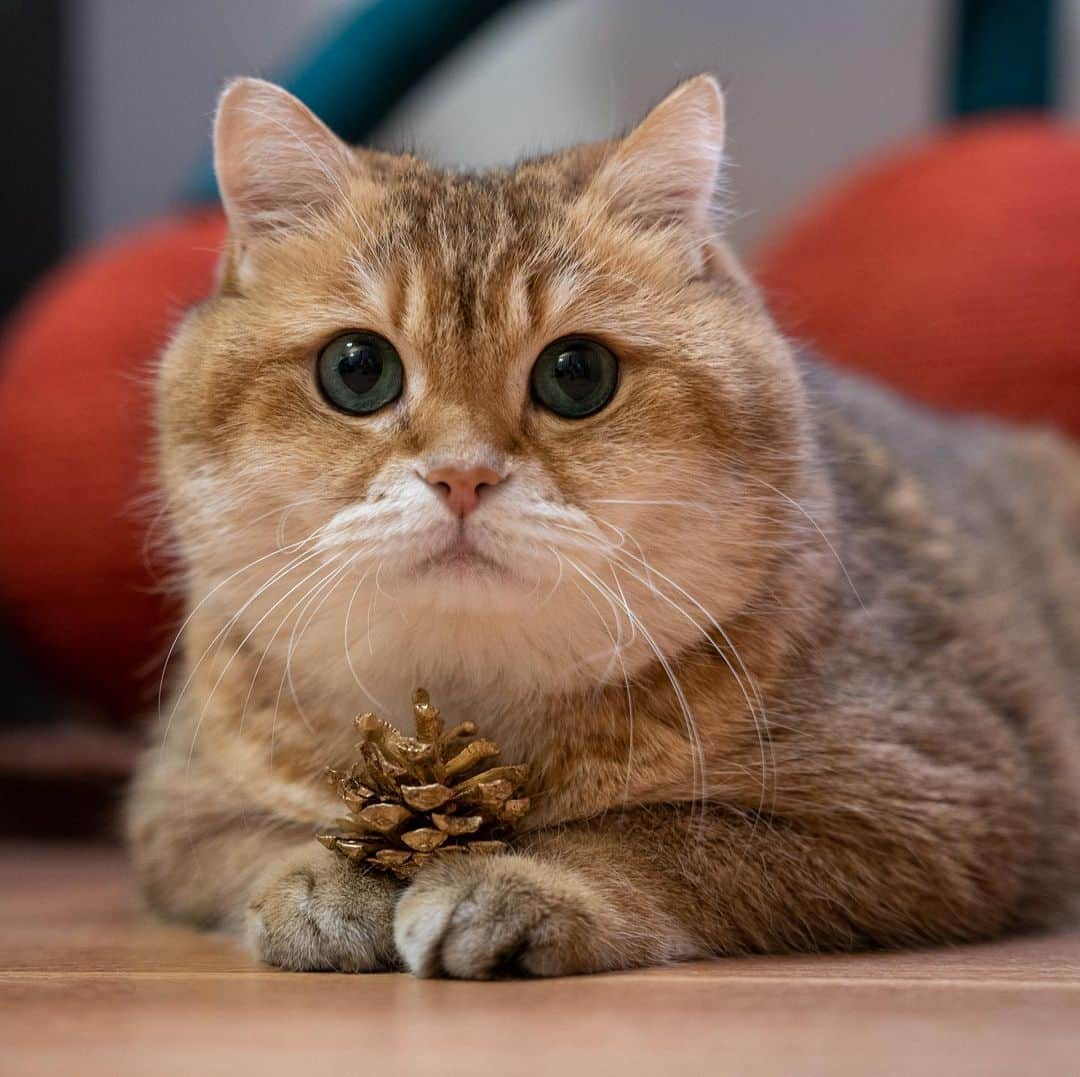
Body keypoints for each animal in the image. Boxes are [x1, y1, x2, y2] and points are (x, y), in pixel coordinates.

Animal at [128, 73, 1080, 976]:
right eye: (356, 369)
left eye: (576, 373)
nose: (462, 474)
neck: (467, 704)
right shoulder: (178, 808)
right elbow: (264, 840)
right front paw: (326, 881)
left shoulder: (940, 810)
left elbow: (659, 838)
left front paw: (521, 878)